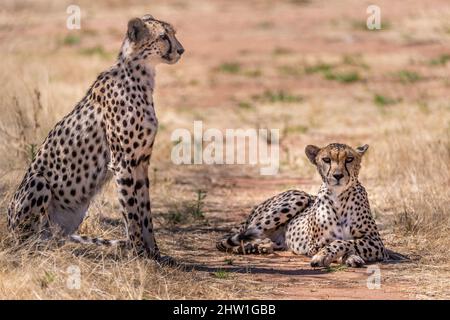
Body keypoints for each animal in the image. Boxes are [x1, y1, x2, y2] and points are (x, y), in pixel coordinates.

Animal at [7, 13, 184, 262]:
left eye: (173, 33)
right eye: (163, 36)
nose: (181, 50)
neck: (141, 75)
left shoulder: (140, 162)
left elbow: (145, 213)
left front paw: (155, 255)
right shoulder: (123, 163)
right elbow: (132, 213)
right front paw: (139, 253)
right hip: (38, 182)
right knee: (26, 240)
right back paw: (32, 249)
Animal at [216, 143, 388, 268]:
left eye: (349, 159)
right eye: (326, 160)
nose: (337, 175)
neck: (339, 198)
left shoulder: (375, 242)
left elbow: (346, 242)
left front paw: (349, 257)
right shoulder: (315, 244)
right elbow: (338, 243)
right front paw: (327, 256)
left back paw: (261, 246)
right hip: (298, 198)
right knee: (234, 237)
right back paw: (246, 247)